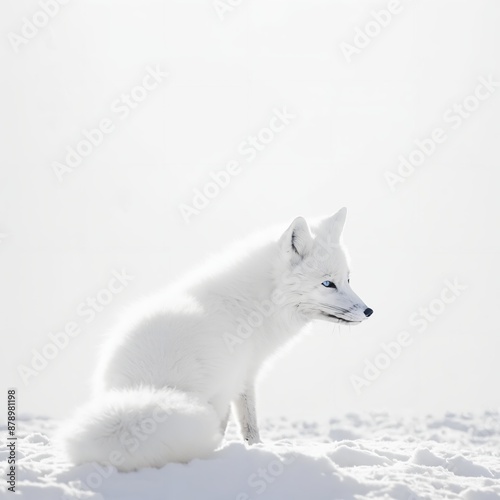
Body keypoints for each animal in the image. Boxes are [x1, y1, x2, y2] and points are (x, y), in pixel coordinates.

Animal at [61, 208, 372, 472]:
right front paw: (255, 451)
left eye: (347, 279)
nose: (369, 311)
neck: (254, 306)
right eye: (327, 283)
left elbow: (246, 425)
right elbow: (247, 425)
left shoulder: (242, 377)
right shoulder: (239, 377)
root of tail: (144, 388)